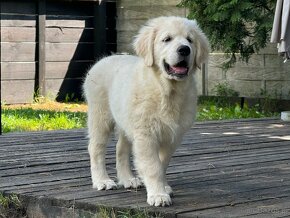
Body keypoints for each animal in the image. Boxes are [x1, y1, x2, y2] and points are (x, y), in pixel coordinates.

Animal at [82, 16, 210, 206]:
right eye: (167, 39)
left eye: (190, 40)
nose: (184, 50)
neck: (166, 91)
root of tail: (103, 59)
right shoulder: (146, 134)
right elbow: (153, 166)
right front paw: (158, 195)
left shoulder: (173, 136)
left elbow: (162, 163)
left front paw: (163, 187)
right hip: (100, 116)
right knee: (95, 148)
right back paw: (102, 181)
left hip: (126, 122)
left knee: (121, 148)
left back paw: (127, 179)